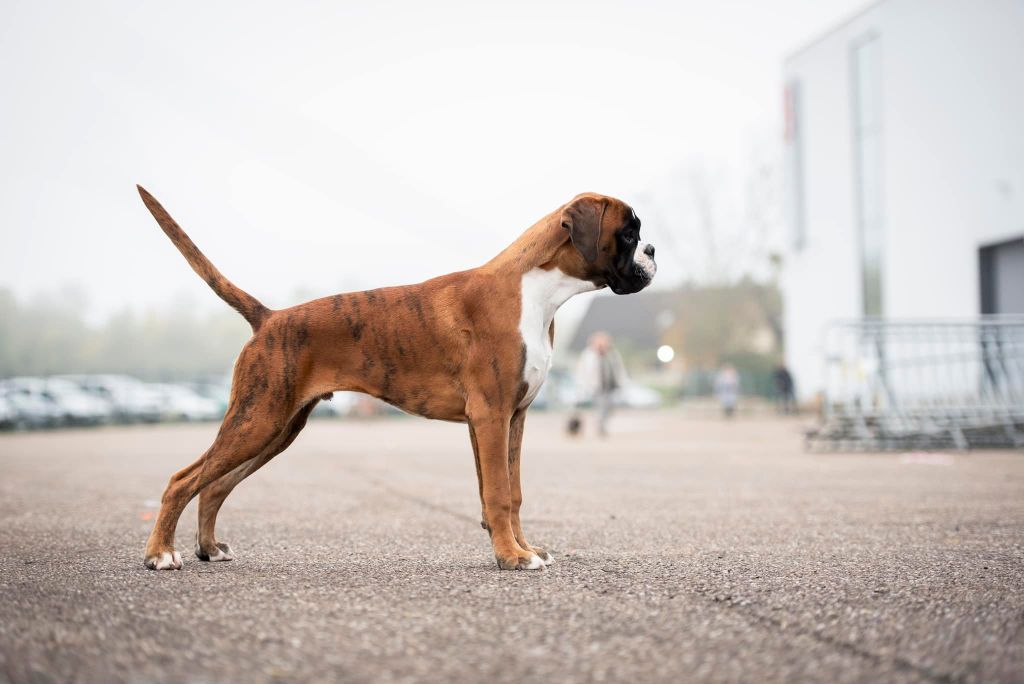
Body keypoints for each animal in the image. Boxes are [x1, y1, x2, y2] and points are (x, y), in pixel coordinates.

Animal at [138, 184, 655, 569]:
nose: (652, 249)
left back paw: (209, 548)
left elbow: (511, 491)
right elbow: (499, 492)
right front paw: (512, 557)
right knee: (183, 480)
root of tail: (269, 318)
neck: (535, 290)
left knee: (215, 484)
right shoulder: (491, 415)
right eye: (629, 233)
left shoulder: (512, 418)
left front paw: (522, 548)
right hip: (258, 419)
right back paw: (161, 554)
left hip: (278, 427)